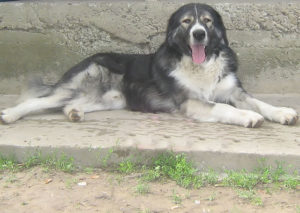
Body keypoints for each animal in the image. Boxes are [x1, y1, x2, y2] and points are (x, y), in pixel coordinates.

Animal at [1, 3, 298, 126]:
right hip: (77, 87)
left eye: (208, 22)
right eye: (186, 22)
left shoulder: (234, 91)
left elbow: (260, 102)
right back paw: (10, 114)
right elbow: (223, 107)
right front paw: (248, 117)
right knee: (37, 101)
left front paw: (282, 112)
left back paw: (74, 113)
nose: (199, 34)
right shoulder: (190, 102)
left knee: (68, 105)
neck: (199, 65)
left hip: (110, 99)